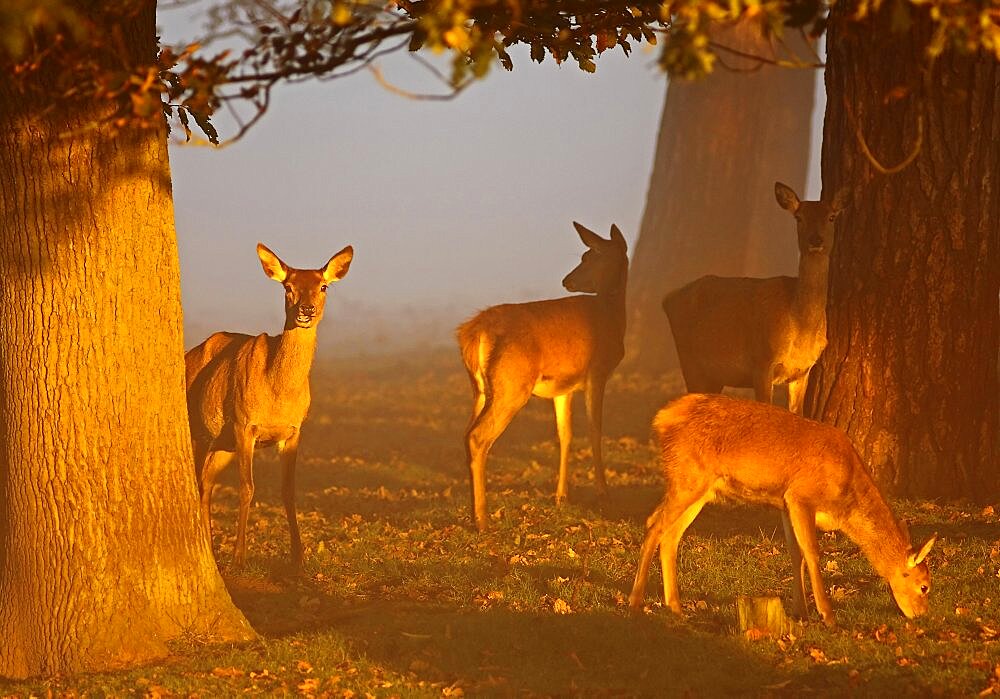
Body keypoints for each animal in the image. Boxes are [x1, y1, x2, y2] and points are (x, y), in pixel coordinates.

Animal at [186, 243, 354, 572]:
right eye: (288, 287)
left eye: (323, 286)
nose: (306, 310)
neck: (278, 394)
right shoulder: (244, 424)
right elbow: (247, 487)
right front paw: (239, 557)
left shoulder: (293, 431)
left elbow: (288, 491)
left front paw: (299, 558)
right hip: (198, 429)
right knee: (199, 482)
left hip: (222, 444)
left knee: (207, 482)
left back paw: (210, 547)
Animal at [458, 221, 628, 532]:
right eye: (586, 255)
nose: (567, 280)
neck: (612, 315)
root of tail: (474, 331)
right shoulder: (597, 372)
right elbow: (595, 430)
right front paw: (603, 494)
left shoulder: (563, 387)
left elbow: (565, 433)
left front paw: (561, 496)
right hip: (512, 385)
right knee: (477, 437)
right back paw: (483, 520)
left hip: (481, 390)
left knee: (465, 435)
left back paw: (474, 511)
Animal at [624, 392, 936, 628]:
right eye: (924, 586)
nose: (921, 615)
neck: (845, 497)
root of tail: (662, 419)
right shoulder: (801, 495)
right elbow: (812, 552)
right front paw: (828, 616)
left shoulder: (786, 503)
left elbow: (796, 554)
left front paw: (801, 612)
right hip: (687, 479)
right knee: (654, 524)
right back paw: (636, 603)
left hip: (699, 488)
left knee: (670, 534)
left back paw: (675, 607)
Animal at [660, 182, 848, 616]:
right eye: (799, 216)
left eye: (831, 215)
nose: (815, 240)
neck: (799, 322)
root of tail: (667, 298)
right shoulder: (763, 364)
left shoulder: (802, 373)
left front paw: (802, 603)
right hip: (692, 363)